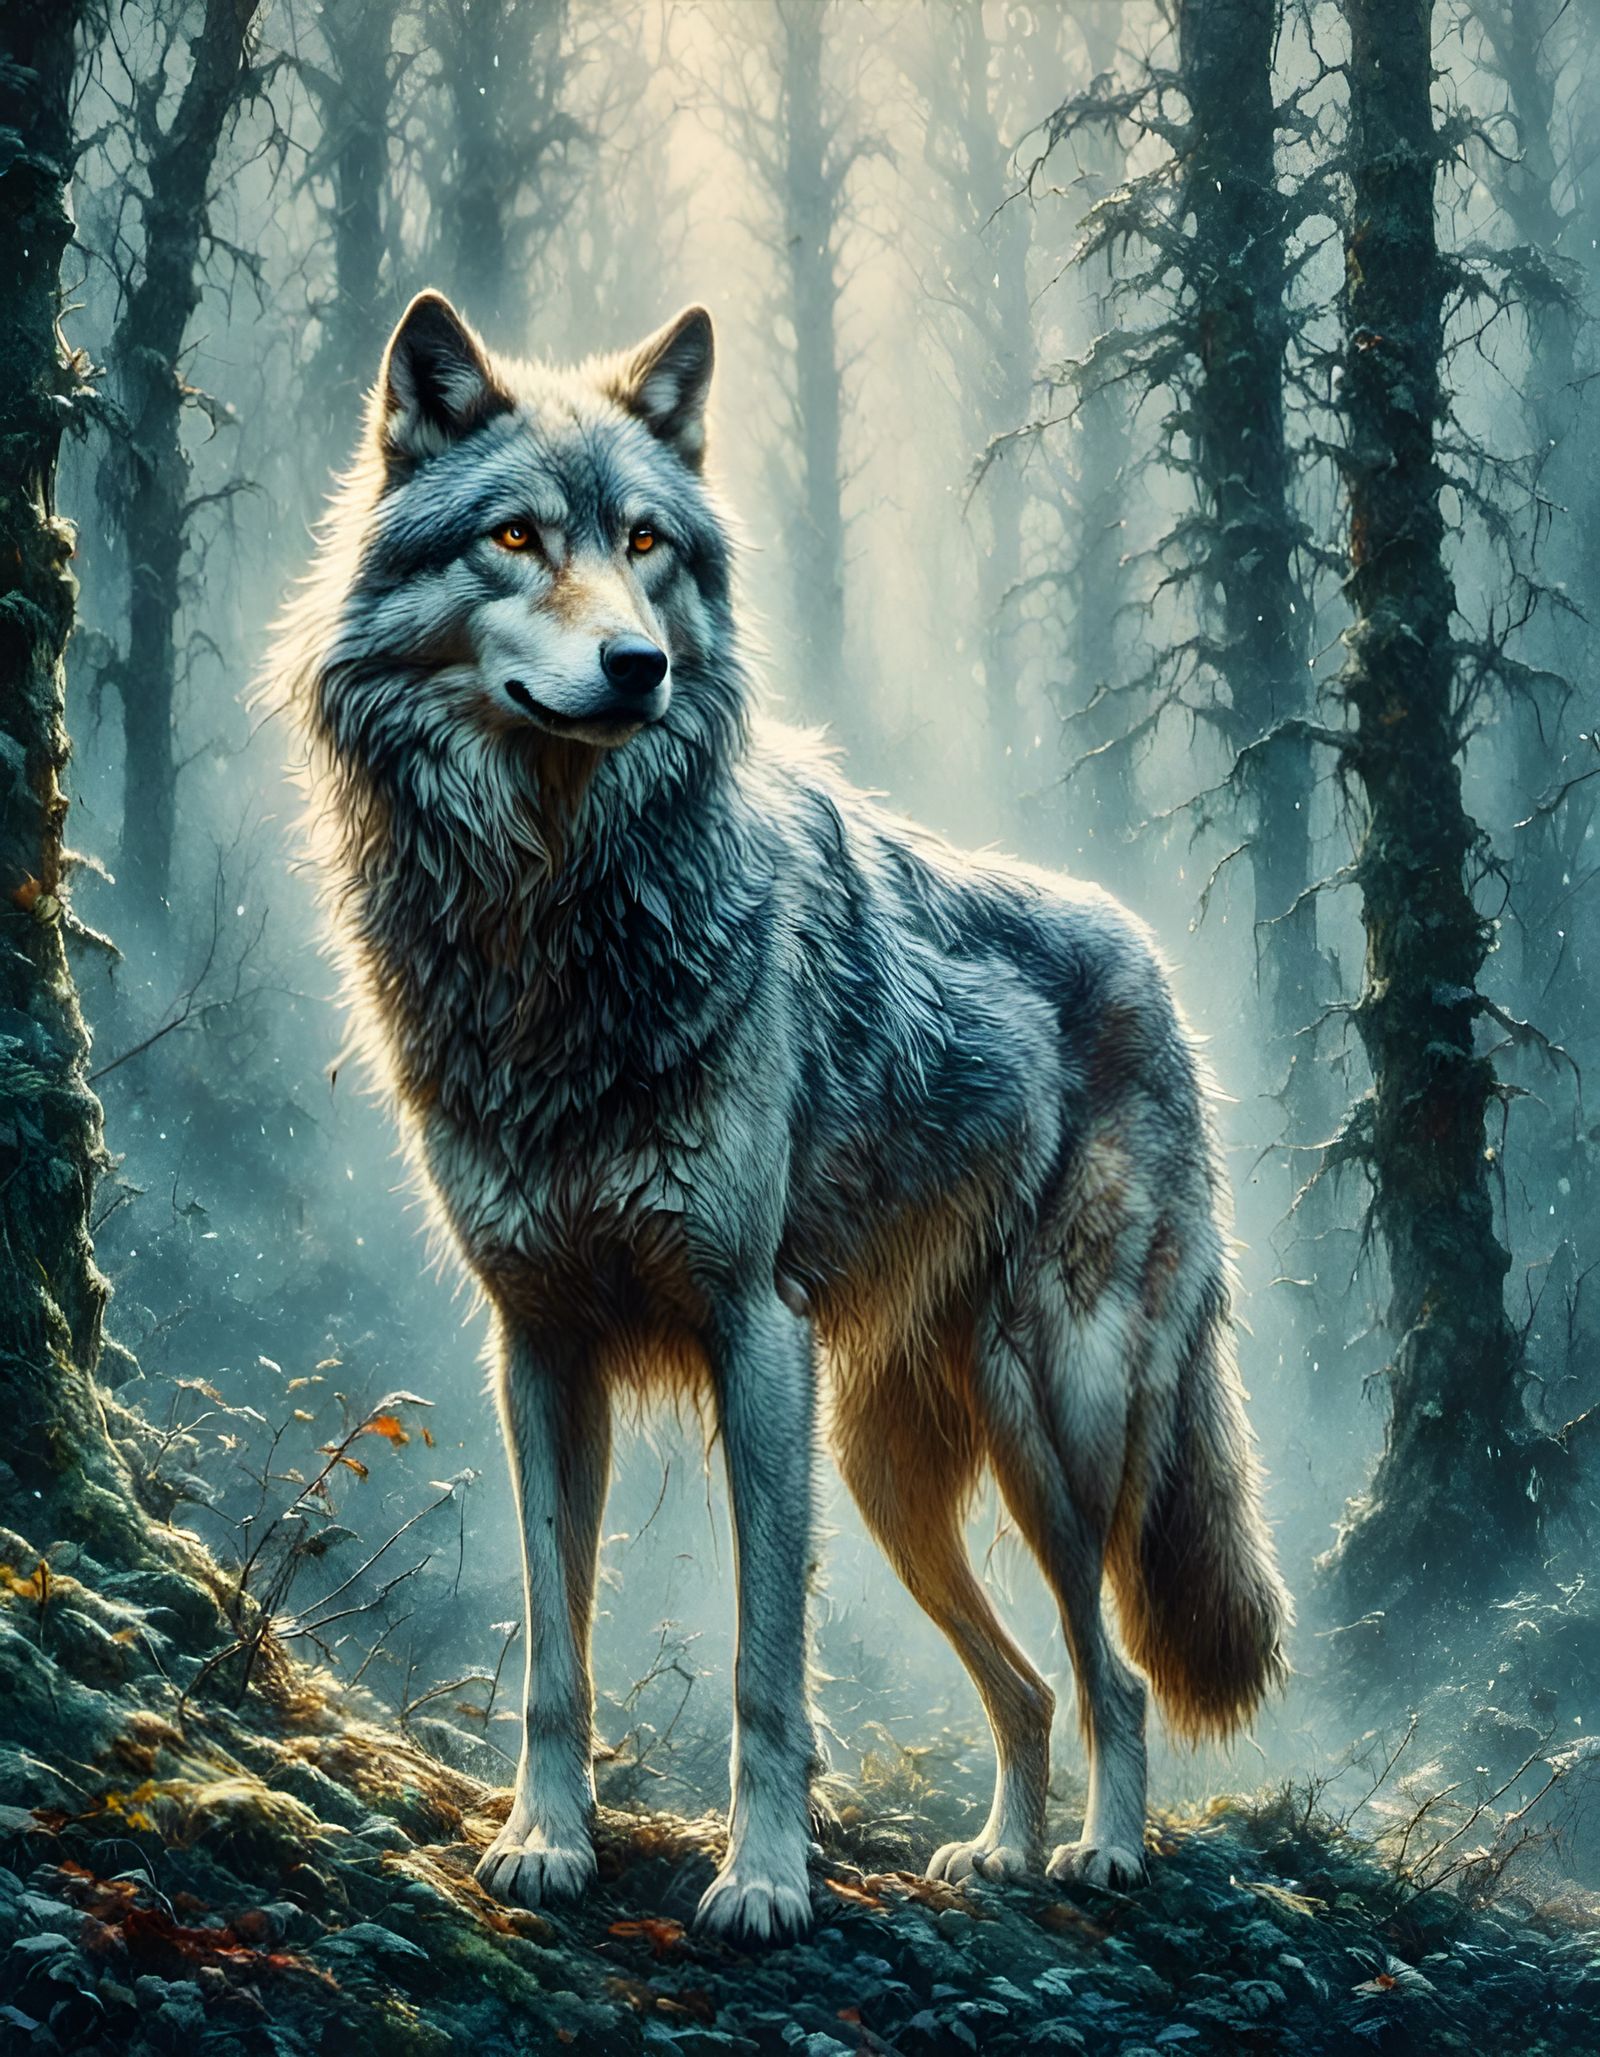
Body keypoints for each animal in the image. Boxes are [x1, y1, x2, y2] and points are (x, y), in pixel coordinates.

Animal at [276, 289, 1292, 1945]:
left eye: (645, 541)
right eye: (513, 538)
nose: (636, 666)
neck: (557, 915)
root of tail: (1155, 966)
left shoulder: (753, 1334)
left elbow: (767, 1669)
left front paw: (762, 1881)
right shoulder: (538, 1348)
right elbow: (555, 1649)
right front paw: (545, 1841)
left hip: (1049, 1423)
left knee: (1117, 1673)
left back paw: (1104, 1853)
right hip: (890, 1472)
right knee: (1024, 1685)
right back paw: (1004, 1853)